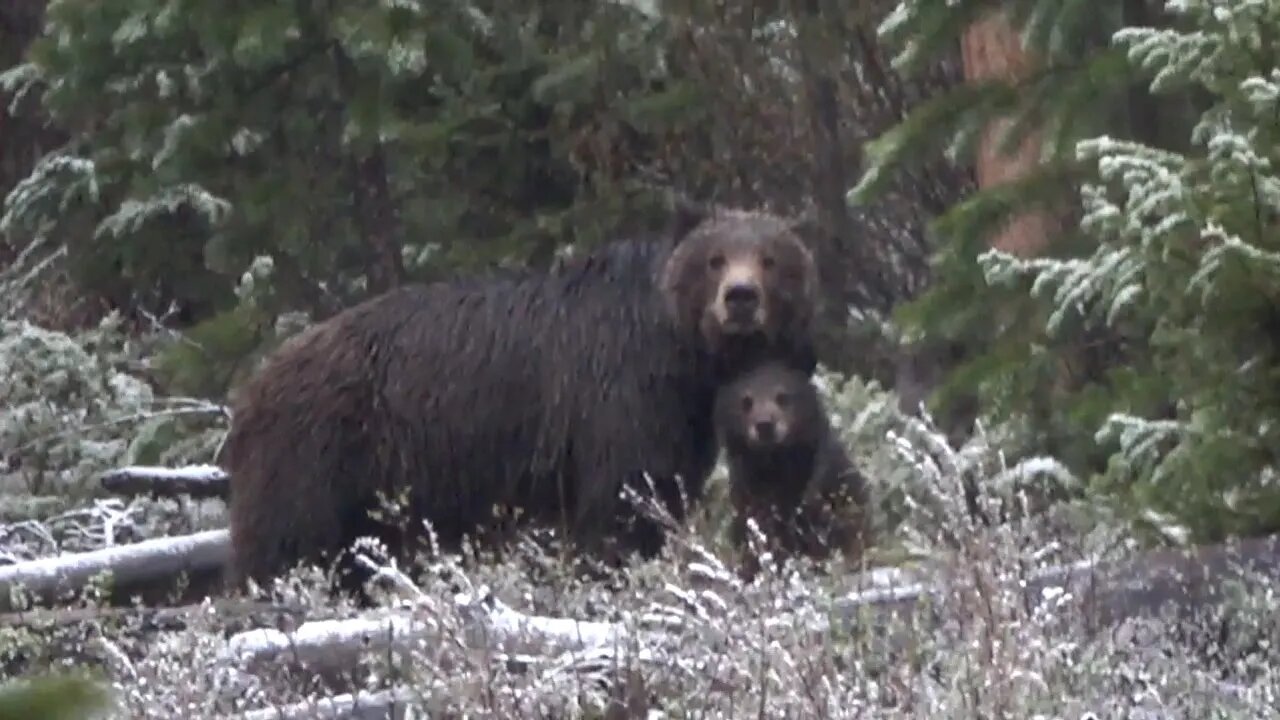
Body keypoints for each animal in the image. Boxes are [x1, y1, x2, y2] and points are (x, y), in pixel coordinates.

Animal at [220, 203, 819, 594]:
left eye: (768, 258)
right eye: (715, 258)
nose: (740, 299)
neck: (686, 358)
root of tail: (250, 389)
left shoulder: (678, 420)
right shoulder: (619, 399)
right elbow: (621, 504)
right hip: (315, 459)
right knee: (287, 549)